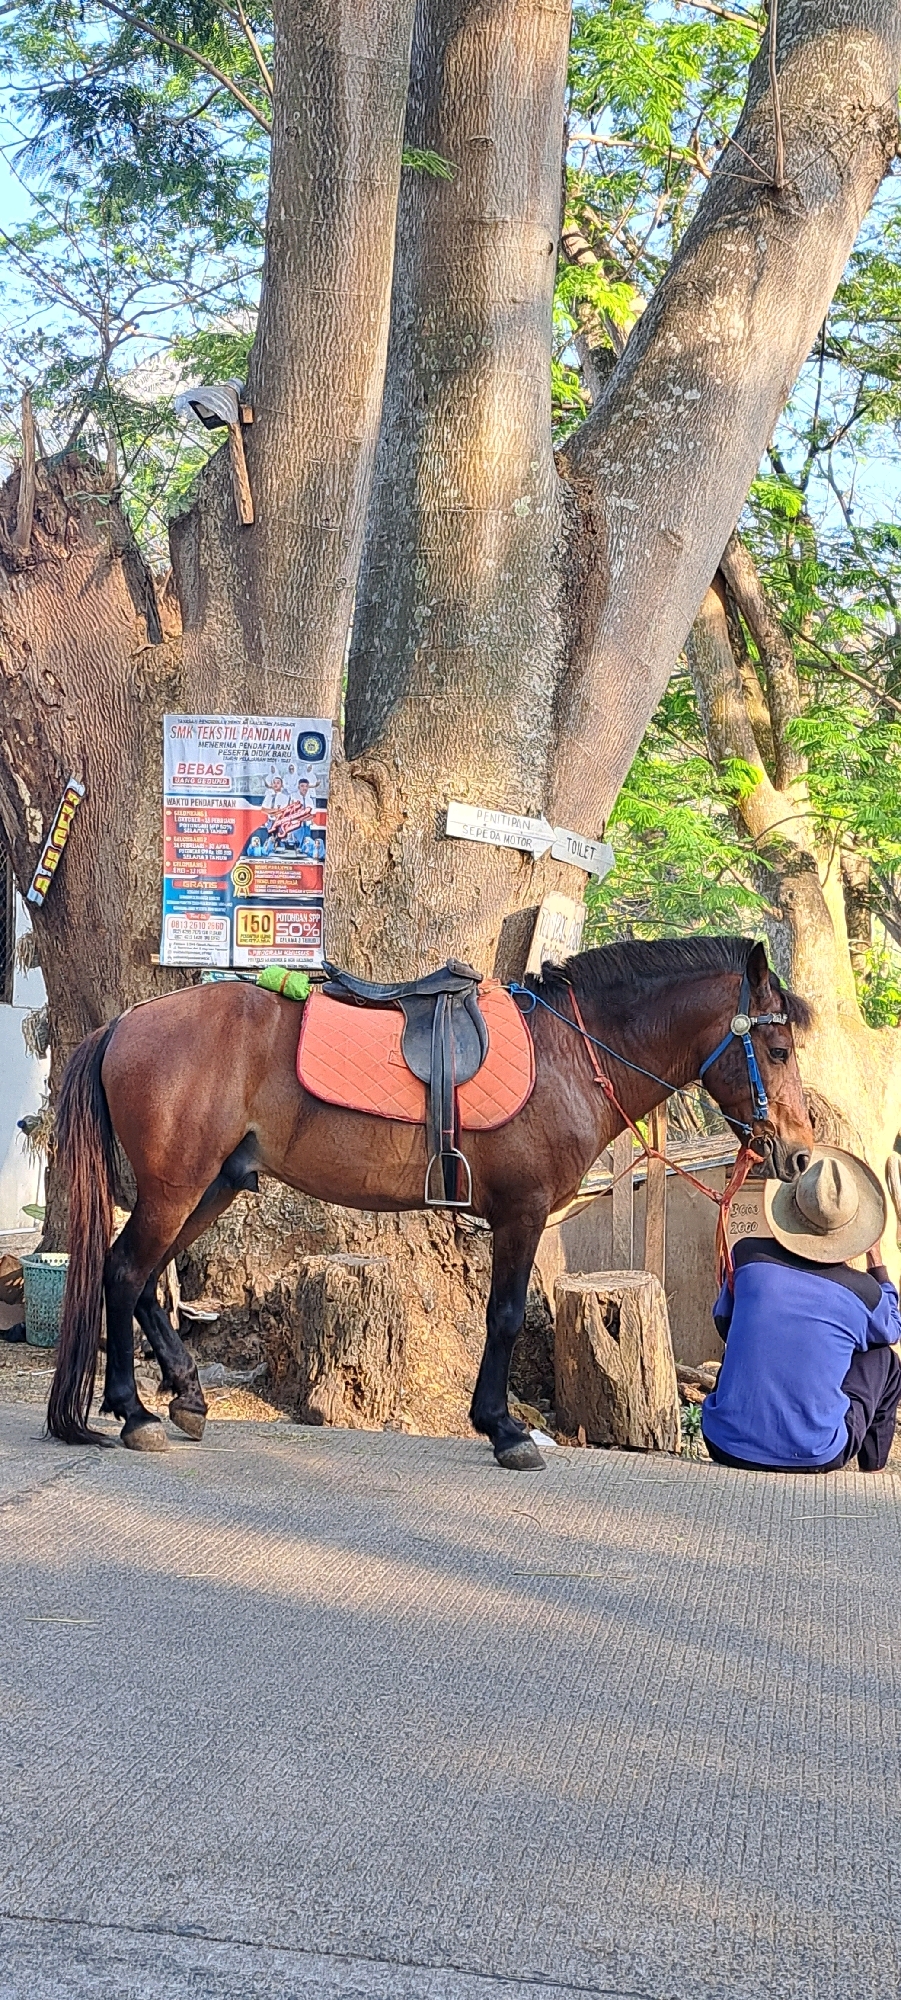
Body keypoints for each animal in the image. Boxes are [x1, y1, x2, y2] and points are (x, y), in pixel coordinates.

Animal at [47, 935, 815, 1470]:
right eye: (777, 1050)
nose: (800, 1153)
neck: (571, 1052)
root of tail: (124, 1023)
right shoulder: (522, 1214)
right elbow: (504, 1317)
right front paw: (503, 1428)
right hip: (177, 1188)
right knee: (124, 1273)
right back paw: (134, 1413)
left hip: (210, 1186)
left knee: (146, 1280)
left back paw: (185, 1394)